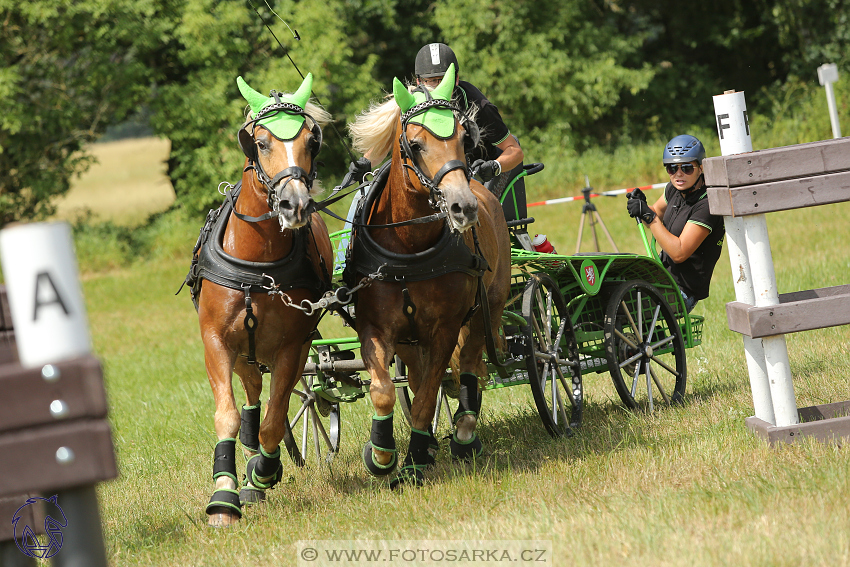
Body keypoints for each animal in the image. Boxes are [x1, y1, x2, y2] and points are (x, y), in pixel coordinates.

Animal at [186, 73, 332, 524]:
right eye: (262, 142)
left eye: (311, 141)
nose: (294, 204)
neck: (258, 262)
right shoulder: (216, 342)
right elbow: (229, 416)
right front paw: (224, 496)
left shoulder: (293, 346)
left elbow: (275, 420)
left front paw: (263, 473)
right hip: (244, 353)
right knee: (251, 393)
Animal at [344, 64, 510, 486]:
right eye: (416, 145)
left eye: (465, 139)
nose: (462, 207)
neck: (409, 248)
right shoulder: (376, 328)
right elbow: (386, 391)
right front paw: (382, 454)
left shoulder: (445, 328)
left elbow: (426, 398)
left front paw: (414, 462)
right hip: (410, 337)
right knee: (420, 377)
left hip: (488, 309)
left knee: (468, 364)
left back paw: (464, 435)